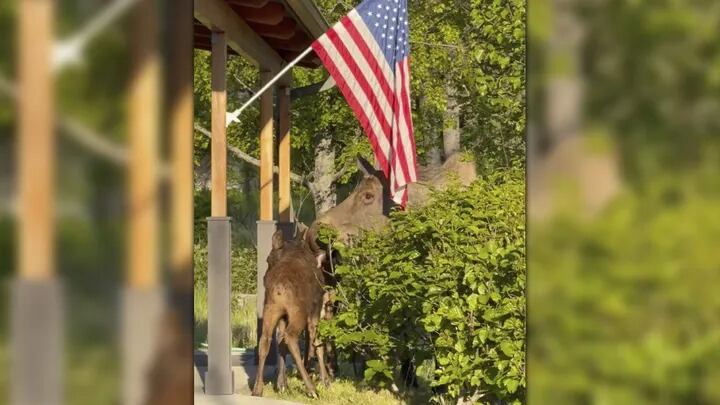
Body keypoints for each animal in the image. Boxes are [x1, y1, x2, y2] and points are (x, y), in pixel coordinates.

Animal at [252, 229, 330, 396]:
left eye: (268, 258)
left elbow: (280, 344)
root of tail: (279, 288)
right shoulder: (315, 308)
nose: (264, 277)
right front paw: (325, 380)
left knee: (265, 340)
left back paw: (257, 389)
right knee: (291, 337)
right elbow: (317, 342)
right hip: (299, 313)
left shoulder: (283, 317)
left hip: (270, 309)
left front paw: (282, 384)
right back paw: (311, 388)